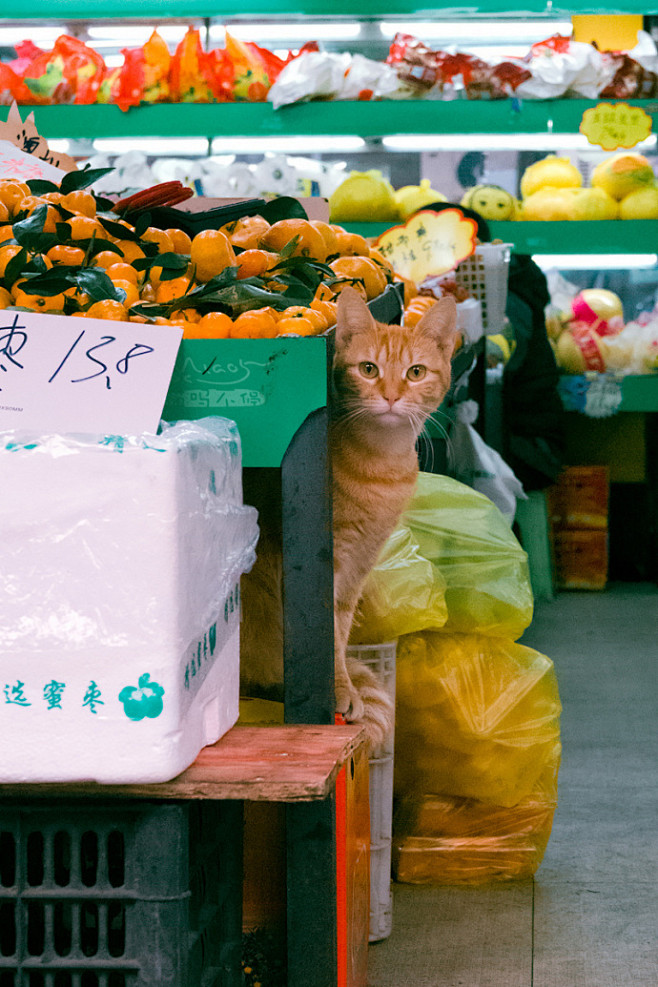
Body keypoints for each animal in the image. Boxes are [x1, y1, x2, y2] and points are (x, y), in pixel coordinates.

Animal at [240, 286, 456, 748]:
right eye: (369, 369)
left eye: (415, 372)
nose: (391, 396)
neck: (381, 468)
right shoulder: (325, 563)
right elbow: (327, 637)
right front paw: (339, 692)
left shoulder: (359, 565)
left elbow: (339, 634)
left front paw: (345, 689)